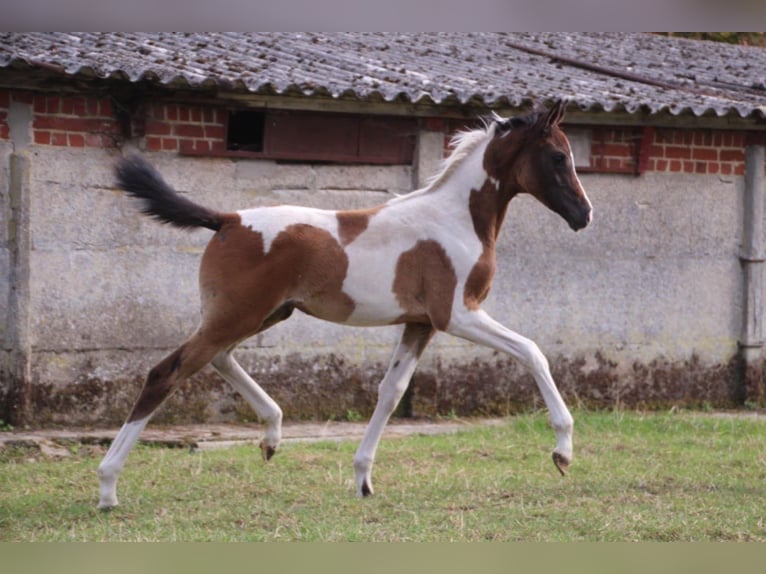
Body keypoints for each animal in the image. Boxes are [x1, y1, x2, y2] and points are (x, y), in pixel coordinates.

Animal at [97, 100, 592, 509]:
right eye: (558, 157)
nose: (584, 215)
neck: (455, 218)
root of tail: (228, 219)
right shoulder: (456, 314)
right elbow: (532, 352)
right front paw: (562, 452)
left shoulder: (419, 323)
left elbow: (391, 392)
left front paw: (363, 480)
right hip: (238, 315)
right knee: (167, 372)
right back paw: (107, 488)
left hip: (263, 313)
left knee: (219, 358)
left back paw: (272, 435)